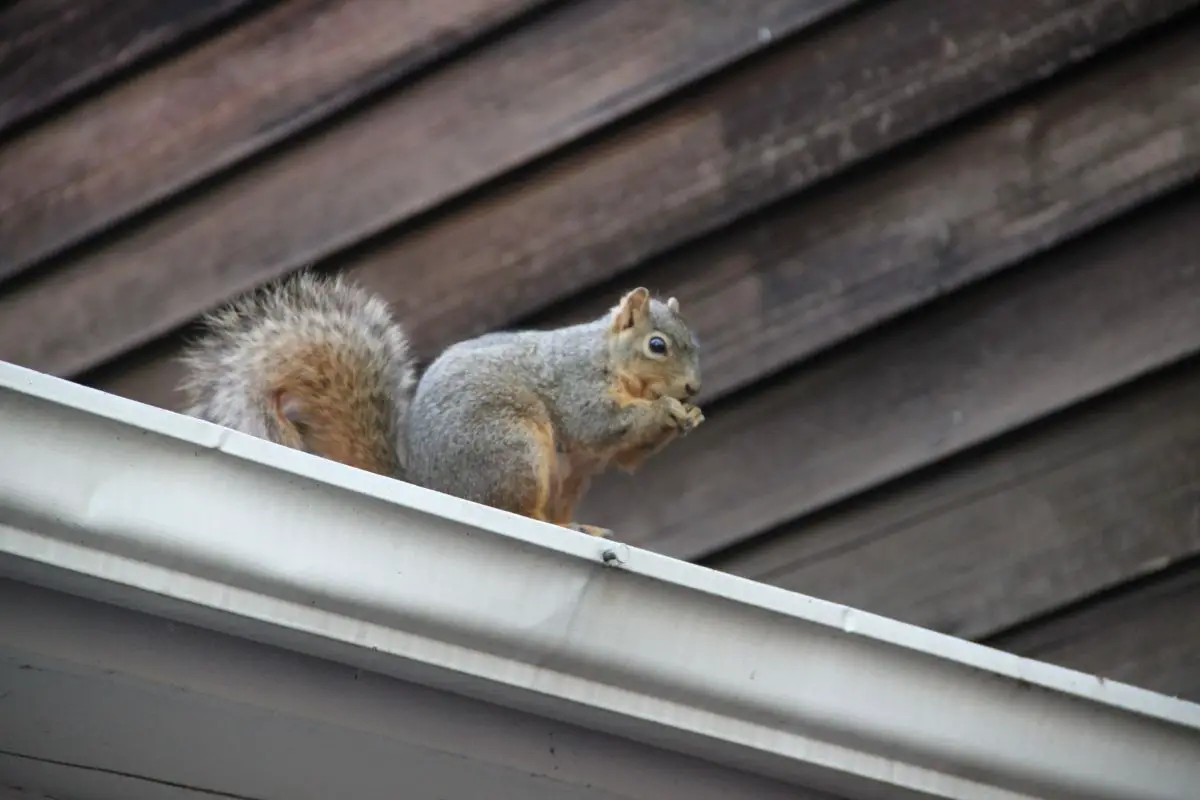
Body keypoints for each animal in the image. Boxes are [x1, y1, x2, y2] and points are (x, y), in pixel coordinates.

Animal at [177, 272, 700, 542]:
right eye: (657, 345)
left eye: (694, 343)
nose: (693, 388)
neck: (607, 358)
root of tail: (430, 485)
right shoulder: (577, 385)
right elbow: (600, 424)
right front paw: (666, 410)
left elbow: (626, 455)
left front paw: (688, 417)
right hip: (511, 449)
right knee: (514, 509)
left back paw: (578, 527)